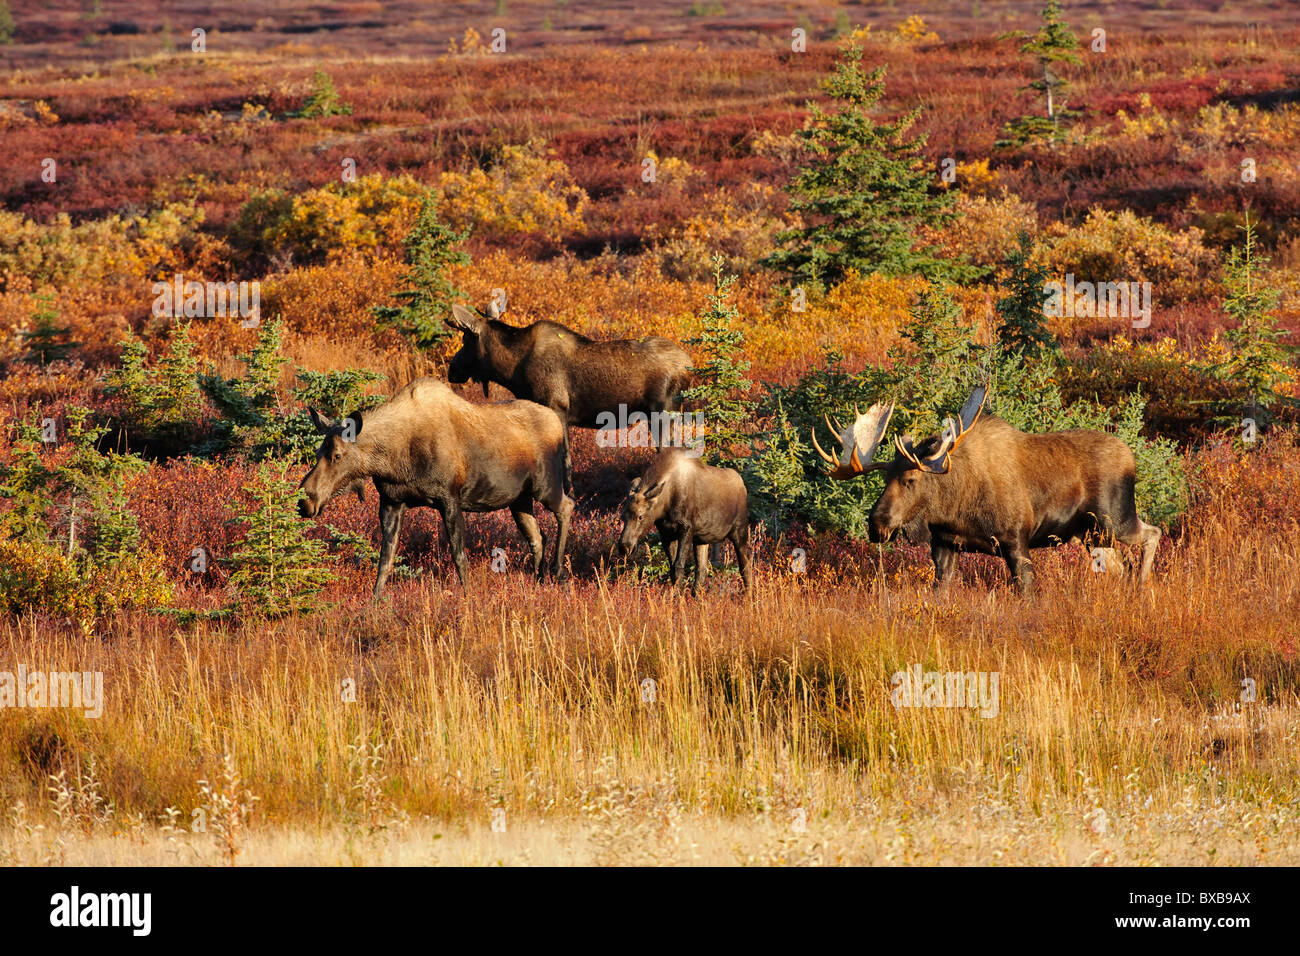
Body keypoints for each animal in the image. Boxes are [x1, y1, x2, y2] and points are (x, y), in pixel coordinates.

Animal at [301, 374, 577, 595]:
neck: (393, 461)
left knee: (567, 506)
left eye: (337, 455)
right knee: (537, 536)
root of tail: (558, 425)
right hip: (519, 500)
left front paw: (468, 596)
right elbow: (385, 561)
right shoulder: (391, 502)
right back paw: (539, 580)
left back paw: (558, 571)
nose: (305, 501)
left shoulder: (450, 499)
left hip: (546, 485)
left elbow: (459, 556)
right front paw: (375, 601)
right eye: (317, 451)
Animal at [444, 303, 691, 429]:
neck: (513, 372)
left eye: (466, 340)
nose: (452, 370)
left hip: (664, 412)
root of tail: (689, 364)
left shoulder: (557, 408)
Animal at [616, 447, 754, 595]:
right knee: (702, 569)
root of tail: (742, 484)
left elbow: (678, 565)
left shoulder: (686, 528)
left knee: (745, 565)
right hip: (701, 539)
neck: (666, 503)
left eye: (641, 516)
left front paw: (677, 596)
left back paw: (748, 596)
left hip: (739, 531)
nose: (625, 547)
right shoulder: (666, 533)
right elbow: (672, 568)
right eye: (623, 516)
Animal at [816, 385, 1164, 595]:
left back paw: (1141, 586)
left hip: (1114, 519)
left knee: (1153, 533)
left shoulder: (1015, 540)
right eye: (884, 479)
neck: (953, 508)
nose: (876, 524)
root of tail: (1132, 459)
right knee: (1121, 565)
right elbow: (940, 590)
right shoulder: (945, 544)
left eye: (910, 480)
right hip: (1093, 535)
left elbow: (1027, 592)